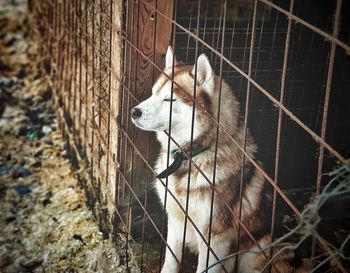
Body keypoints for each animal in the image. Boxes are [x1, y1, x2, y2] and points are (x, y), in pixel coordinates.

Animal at [131, 45, 308, 270]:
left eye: (169, 99)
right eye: (153, 93)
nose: (134, 112)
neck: (191, 156)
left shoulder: (215, 238)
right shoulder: (176, 220)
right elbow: (171, 262)